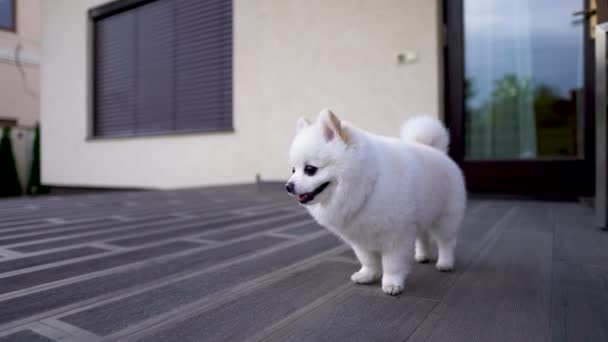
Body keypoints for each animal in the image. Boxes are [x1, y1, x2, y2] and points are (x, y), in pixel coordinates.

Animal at [288, 109, 468, 294]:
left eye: (310, 169)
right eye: (293, 170)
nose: (289, 186)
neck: (367, 185)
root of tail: (436, 150)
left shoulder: (396, 235)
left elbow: (392, 264)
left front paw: (392, 283)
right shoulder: (360, 237)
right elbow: (368, 260)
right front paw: (367, 275)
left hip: (445, 218)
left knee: (446, 242)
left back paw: (445, 263)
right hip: (423, 215)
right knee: (423, 236)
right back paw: (422, 255)